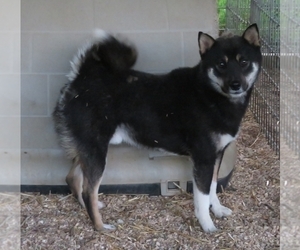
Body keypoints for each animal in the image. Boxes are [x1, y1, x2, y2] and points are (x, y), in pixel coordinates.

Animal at [52, 23, 262, 232]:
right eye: (221, 64)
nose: (235, 84)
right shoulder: (203, 159)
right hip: (96, 150)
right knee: (89, 190)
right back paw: (99, 225)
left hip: (89, 149)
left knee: (73, 179)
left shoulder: (216, 156)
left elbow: (212, 188)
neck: (209, 93)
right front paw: (207, 224)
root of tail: (82, 77)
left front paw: (217, 210)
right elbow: (202, 198)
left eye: (244, 62)